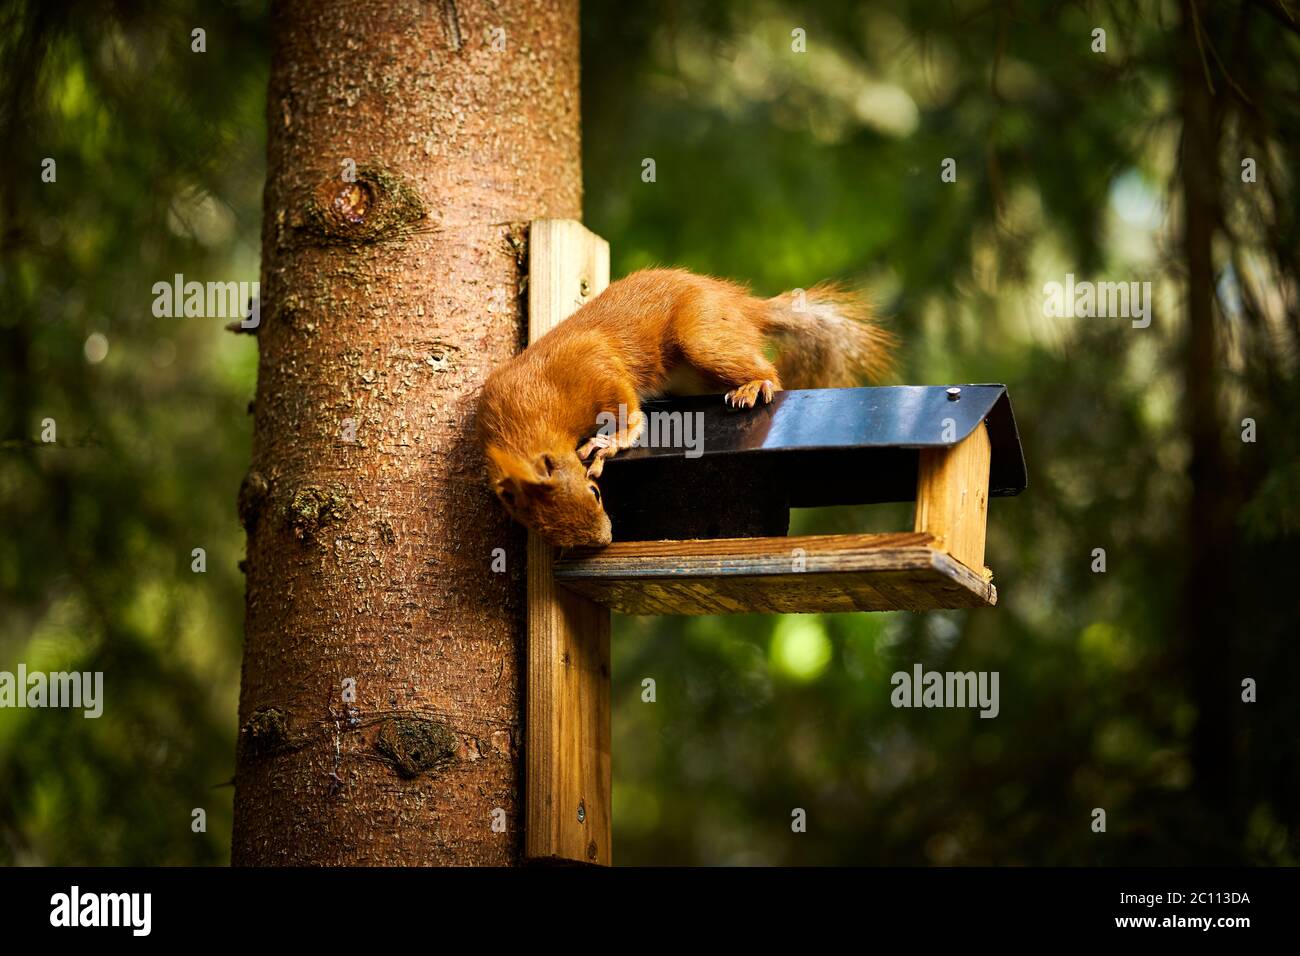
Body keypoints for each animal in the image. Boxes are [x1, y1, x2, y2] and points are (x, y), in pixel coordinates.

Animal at [476, 267, 894, 548]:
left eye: (595, 492)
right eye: (546, 532)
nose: (606, 538)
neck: (528, 416)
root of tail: (738, 303)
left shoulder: (594, 363)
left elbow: (628, 408)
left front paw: (610, 443)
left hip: (702, 335)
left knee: (768, 372)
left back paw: (755, 386)